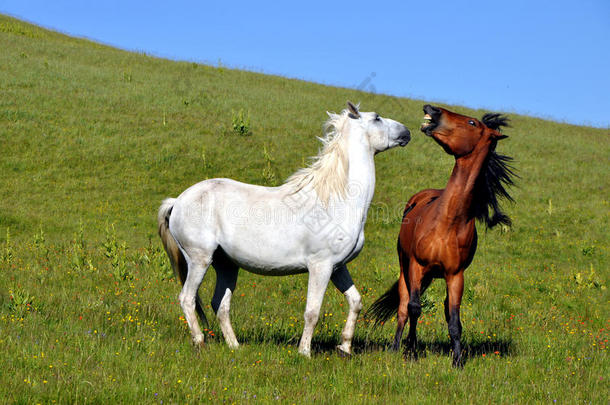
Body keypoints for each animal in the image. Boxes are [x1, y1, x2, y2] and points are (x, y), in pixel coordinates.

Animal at [159, 102, 410, 356]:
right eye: (377, 118)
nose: (407, 132)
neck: (336, 199)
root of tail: (177, 201)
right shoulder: (320, 266)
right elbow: (312, 312)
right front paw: (305, 352)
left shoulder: (337, 267)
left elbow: (355, 302)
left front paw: (345, 347)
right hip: (199, 259)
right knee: (187, 298)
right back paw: (200, 341)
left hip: (226, 265)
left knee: (220, 304)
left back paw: (235, 346)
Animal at [366, 104, 512, 366]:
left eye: (472, 123)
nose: (431, 109)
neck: (448, 222)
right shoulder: (417, 265)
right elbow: (414, 308)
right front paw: (411, 352)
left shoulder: (455, 276)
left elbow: (454, 319)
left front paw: (458, 361)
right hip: (404, 267)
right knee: (403, 307)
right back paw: (395, 347)